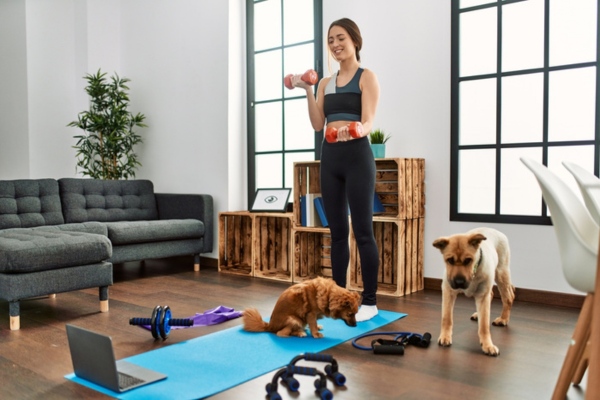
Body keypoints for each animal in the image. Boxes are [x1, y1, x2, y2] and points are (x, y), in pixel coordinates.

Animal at [432, 228, 516, 356]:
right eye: (450, 260)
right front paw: (445, 336)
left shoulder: (483, 296)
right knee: (492, 294)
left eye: (468, 260)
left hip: (501, 273)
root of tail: (496, 231)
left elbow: (484, 326)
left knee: (508, 297)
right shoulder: (448, 291)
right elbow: (447, 318)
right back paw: (478, 314)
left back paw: (503, 319)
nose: (459, 282)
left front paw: (487, 345)